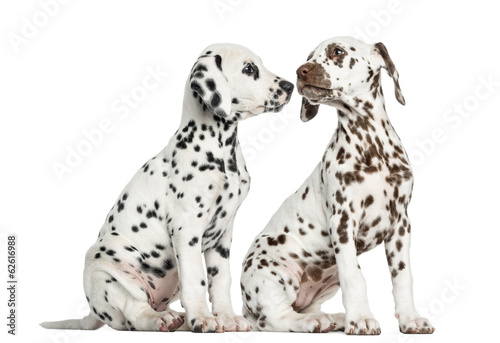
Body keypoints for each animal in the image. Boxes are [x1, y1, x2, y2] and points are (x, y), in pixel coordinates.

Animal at [43, 43, 294, 334]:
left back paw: (178, 318)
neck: (221, 150)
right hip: (103, 268)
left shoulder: (223, 235)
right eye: (249, 68)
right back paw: (161, 319)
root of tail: (93, 314)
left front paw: (226, 317)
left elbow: (220, 281)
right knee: (135, 312)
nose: (290, 86)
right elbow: (196, 279)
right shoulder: (187, 228)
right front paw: (203, 319)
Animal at [241, 37, 434, 336]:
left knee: (304, 308)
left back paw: (335, 318)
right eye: (309, 56)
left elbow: (403, 276)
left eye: (337, 51)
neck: (371, 145)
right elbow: (355, 277)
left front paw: (410, 318)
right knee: (275, 318)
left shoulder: (401, 225)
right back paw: (312, 322)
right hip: (273, 273)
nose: (300, 71)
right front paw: (363, 320)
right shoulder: (343, 222)